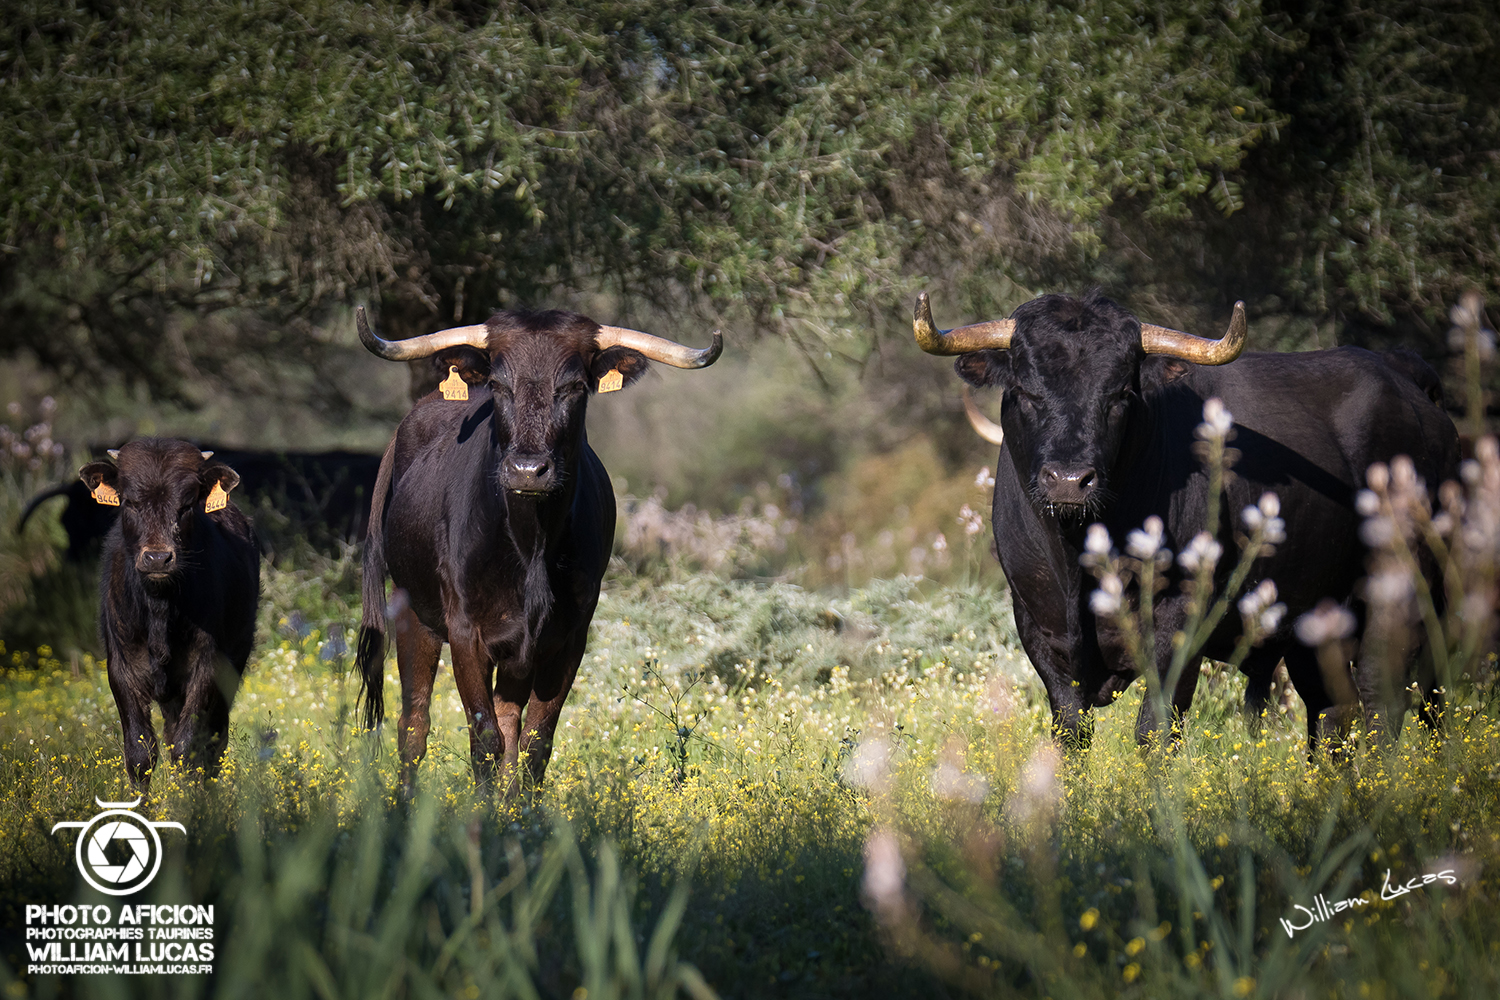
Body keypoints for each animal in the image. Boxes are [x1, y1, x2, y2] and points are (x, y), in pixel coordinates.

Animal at [918, 287, 1458, 743]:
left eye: (1121, 394)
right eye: (1026, 391)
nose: (1069, 480)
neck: (1077, 559)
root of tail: (1402, 375)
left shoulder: (1179, 625)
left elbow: (1154, 732)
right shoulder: (1040, 630)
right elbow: (1070, 737)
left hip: (1406, 589)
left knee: (1390, 698)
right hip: (1315, 618)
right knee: (1333, 715)